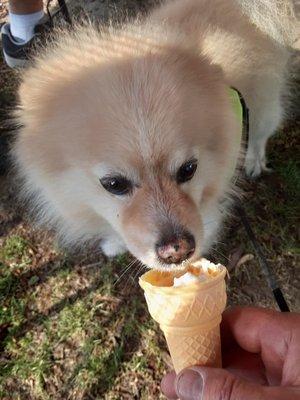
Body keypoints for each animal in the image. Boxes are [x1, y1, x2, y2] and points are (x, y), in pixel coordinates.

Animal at [12, 0, 296, 268]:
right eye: (114, 184)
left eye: (188, 169)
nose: (177, 250)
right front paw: (115, 243)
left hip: (263, 104)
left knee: (261, 132)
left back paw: (253, 161)